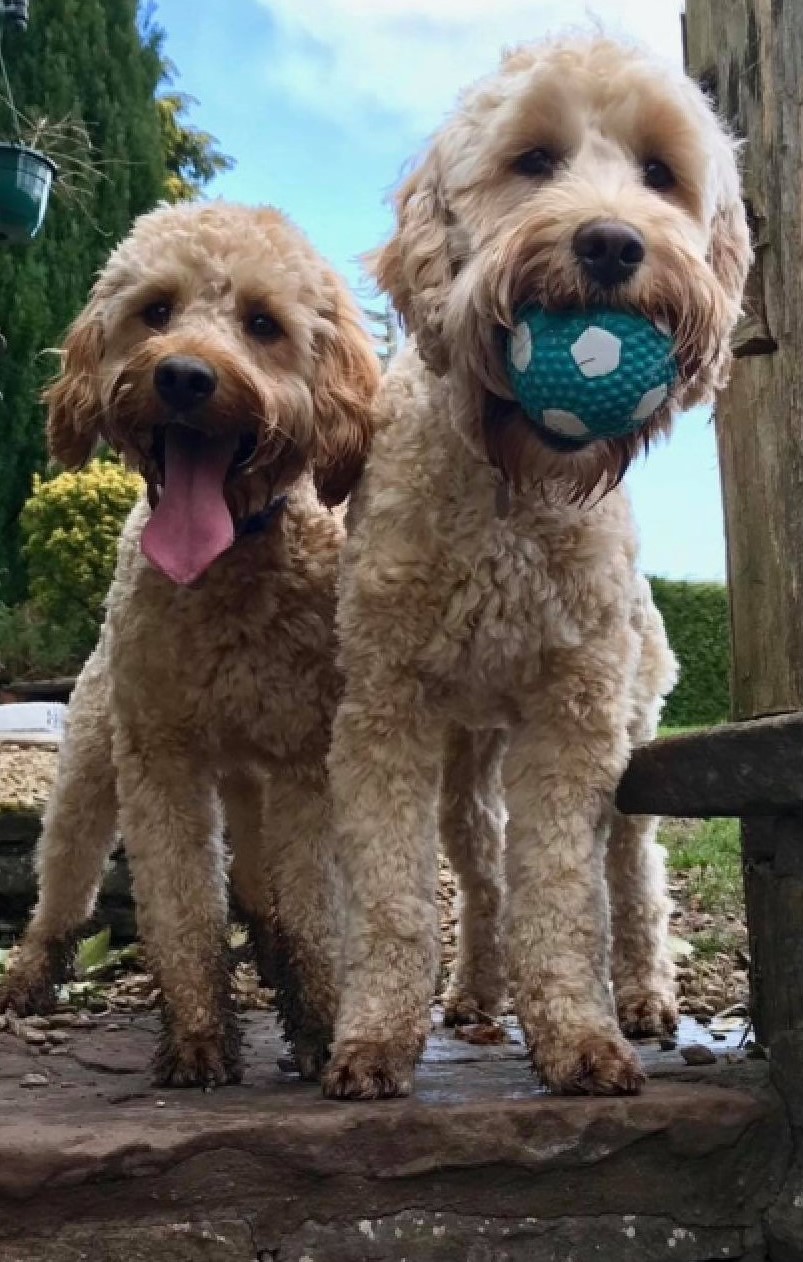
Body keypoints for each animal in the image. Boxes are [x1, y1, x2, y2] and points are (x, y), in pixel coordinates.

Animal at [0, 201, 378, 1090]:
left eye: (263, 324)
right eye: (156, 310)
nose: (183, 378)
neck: (227, 567)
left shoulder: (306, 765)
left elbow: (312, 909)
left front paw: (319, 1026)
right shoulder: (160, 762)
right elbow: (181, 910)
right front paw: (200, 1040)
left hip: (251, 786)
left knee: (263, 890)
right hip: (90, 767)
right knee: (63, 884)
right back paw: (28, 977)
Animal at [323, 39, 747, 1100]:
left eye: (659, 174)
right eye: (532, 160)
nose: (610, 244)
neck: (514, 485)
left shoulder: (573, 714)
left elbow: (561, 888)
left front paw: (579, 1036)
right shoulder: (386, 708)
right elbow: (393, 895)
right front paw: (375, 1037)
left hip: (630, 722)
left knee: (632, 872)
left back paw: (643, 995)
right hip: (466, 754)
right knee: (478, 866)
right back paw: (475, 991)